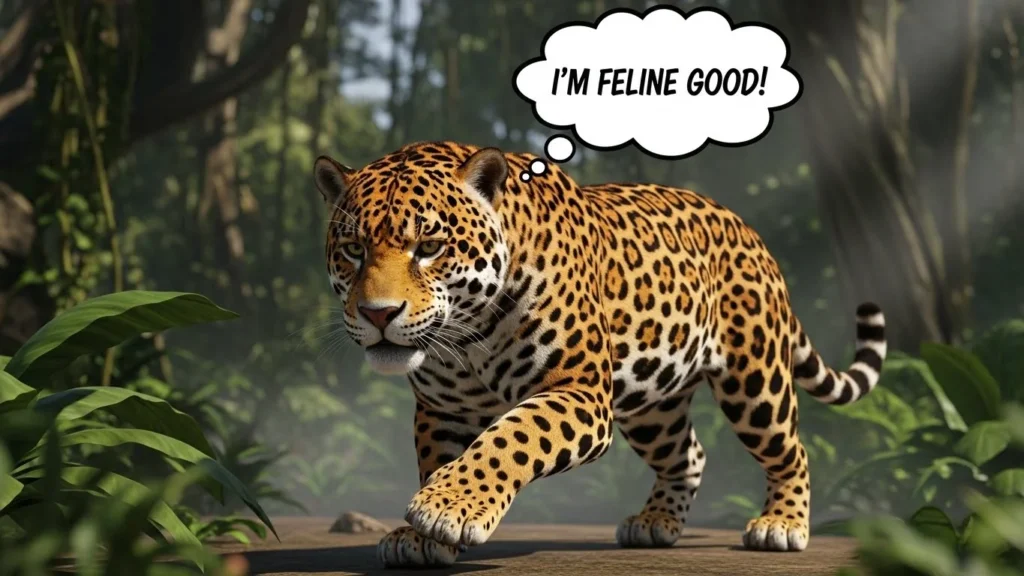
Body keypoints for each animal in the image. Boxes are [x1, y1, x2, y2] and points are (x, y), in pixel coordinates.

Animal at [312, 141, 887, 568]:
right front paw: (425, 535)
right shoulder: (444, 410)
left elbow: (508, 439)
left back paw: (781, 524)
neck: (467, 336)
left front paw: (445, 509)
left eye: (429, 248)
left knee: (790, 450)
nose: (378, 314)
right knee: (689, 454)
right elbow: (441, 460)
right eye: (354, 250)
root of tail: (747, 229)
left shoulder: (579, 390)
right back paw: (655, 522)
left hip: (755, 379)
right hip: (655, 405)